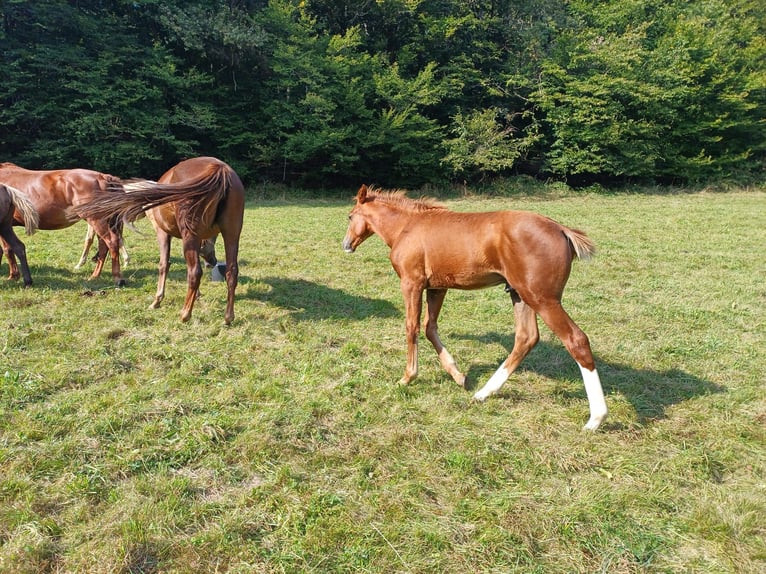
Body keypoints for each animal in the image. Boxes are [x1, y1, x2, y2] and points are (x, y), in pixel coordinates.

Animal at [76, 158, 244, 326]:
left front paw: (157, 300)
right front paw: (197, 295)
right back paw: (228, 317)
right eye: (210, 250)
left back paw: (185, 314)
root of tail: (220, 169)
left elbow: (164, 264)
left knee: (195, 272)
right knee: (231, 272)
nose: (213, 262)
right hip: (231, 234)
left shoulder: (162, 233)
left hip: (192, 236)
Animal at [344, 186, 608, 432]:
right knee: (526, 338)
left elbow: (412, 327)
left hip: (542, 299)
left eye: (350, 216)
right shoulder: (438, 287)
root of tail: (562, 229)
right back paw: (483, 393)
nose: (346, 244)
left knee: (576, 340)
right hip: (520, 295)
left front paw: (408, 377)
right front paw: (459, 376)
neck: (407, 226)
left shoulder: (412, 283)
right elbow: (430, 328)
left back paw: (595, 419)